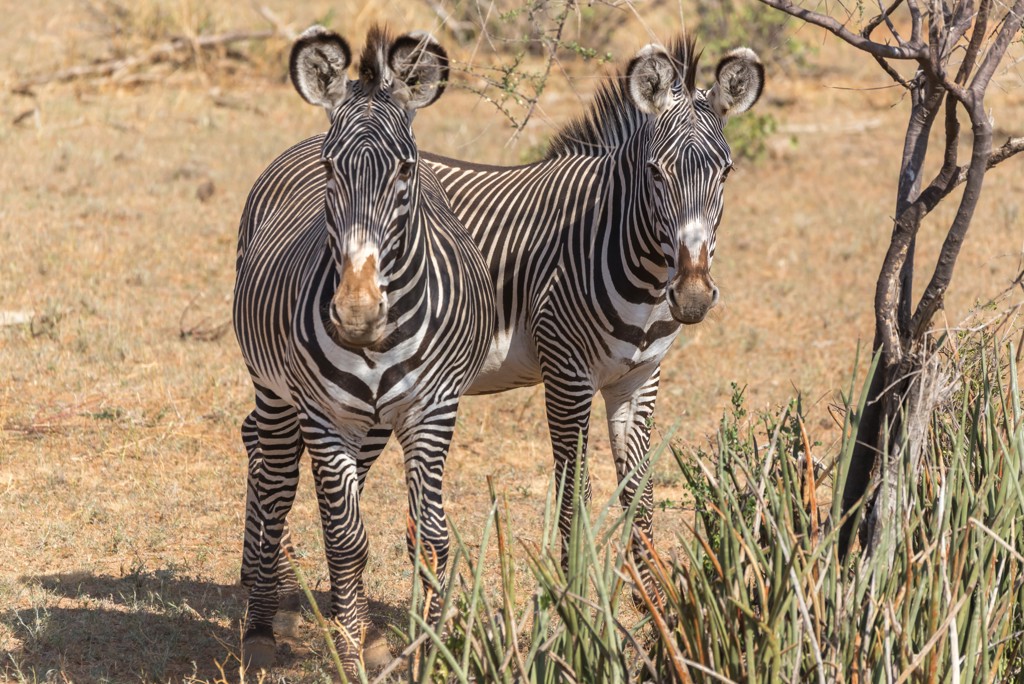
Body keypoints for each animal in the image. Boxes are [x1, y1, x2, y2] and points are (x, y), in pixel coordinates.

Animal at [233, 25, 495, 672]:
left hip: (369, 424)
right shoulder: (322, 415)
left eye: (407, 168)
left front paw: (429, 651)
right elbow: (346, 539)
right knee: (274, 477)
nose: (355, 311)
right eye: (332, 168)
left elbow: (431, 537)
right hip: (276, 390)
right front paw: (350, 656)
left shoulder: (433, 410)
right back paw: (260, 621)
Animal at [241, 34, 764, 608]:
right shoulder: (566, 374)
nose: (691, 296)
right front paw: (575, 601)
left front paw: (656, 605)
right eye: (656, 172)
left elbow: (639, 495)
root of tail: (299, 146)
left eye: (726, 172)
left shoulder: (639, 379)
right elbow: (574, 491)